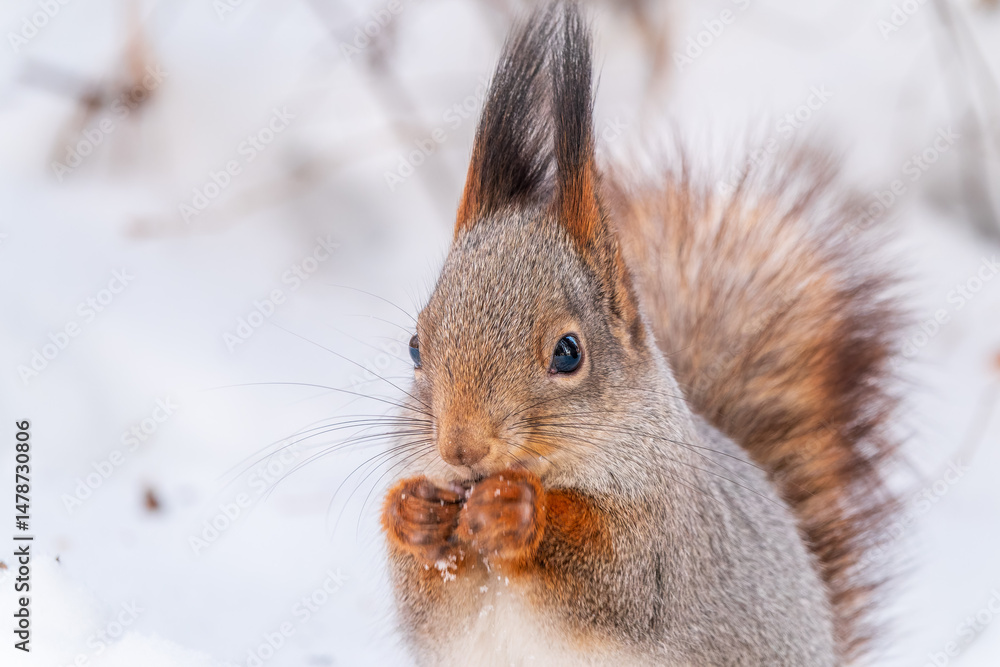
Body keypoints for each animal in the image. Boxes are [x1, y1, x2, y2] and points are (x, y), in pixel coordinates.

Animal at [380, 3, 899, 665]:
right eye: (415, 348)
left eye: (568, 353)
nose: (460, 449)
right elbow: (425, 597)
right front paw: (413, 512)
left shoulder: (663, 540)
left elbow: (617, 577)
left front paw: (516, 511)